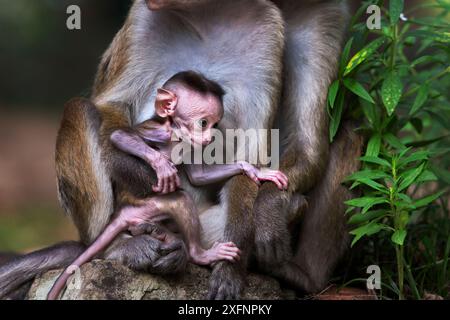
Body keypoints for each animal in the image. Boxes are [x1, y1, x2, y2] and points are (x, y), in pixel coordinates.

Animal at [47, 71, 286, 298]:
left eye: (214, 123)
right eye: (203, 123)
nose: (209, 138)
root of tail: (122, 212)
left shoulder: (191, 145)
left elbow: (198, 177)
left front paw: (254, 170)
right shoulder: (159, 131)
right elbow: (119, 136)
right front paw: (161, 164)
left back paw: (163, 237)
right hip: (147, 205)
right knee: (181, 199)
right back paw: (197, 254)